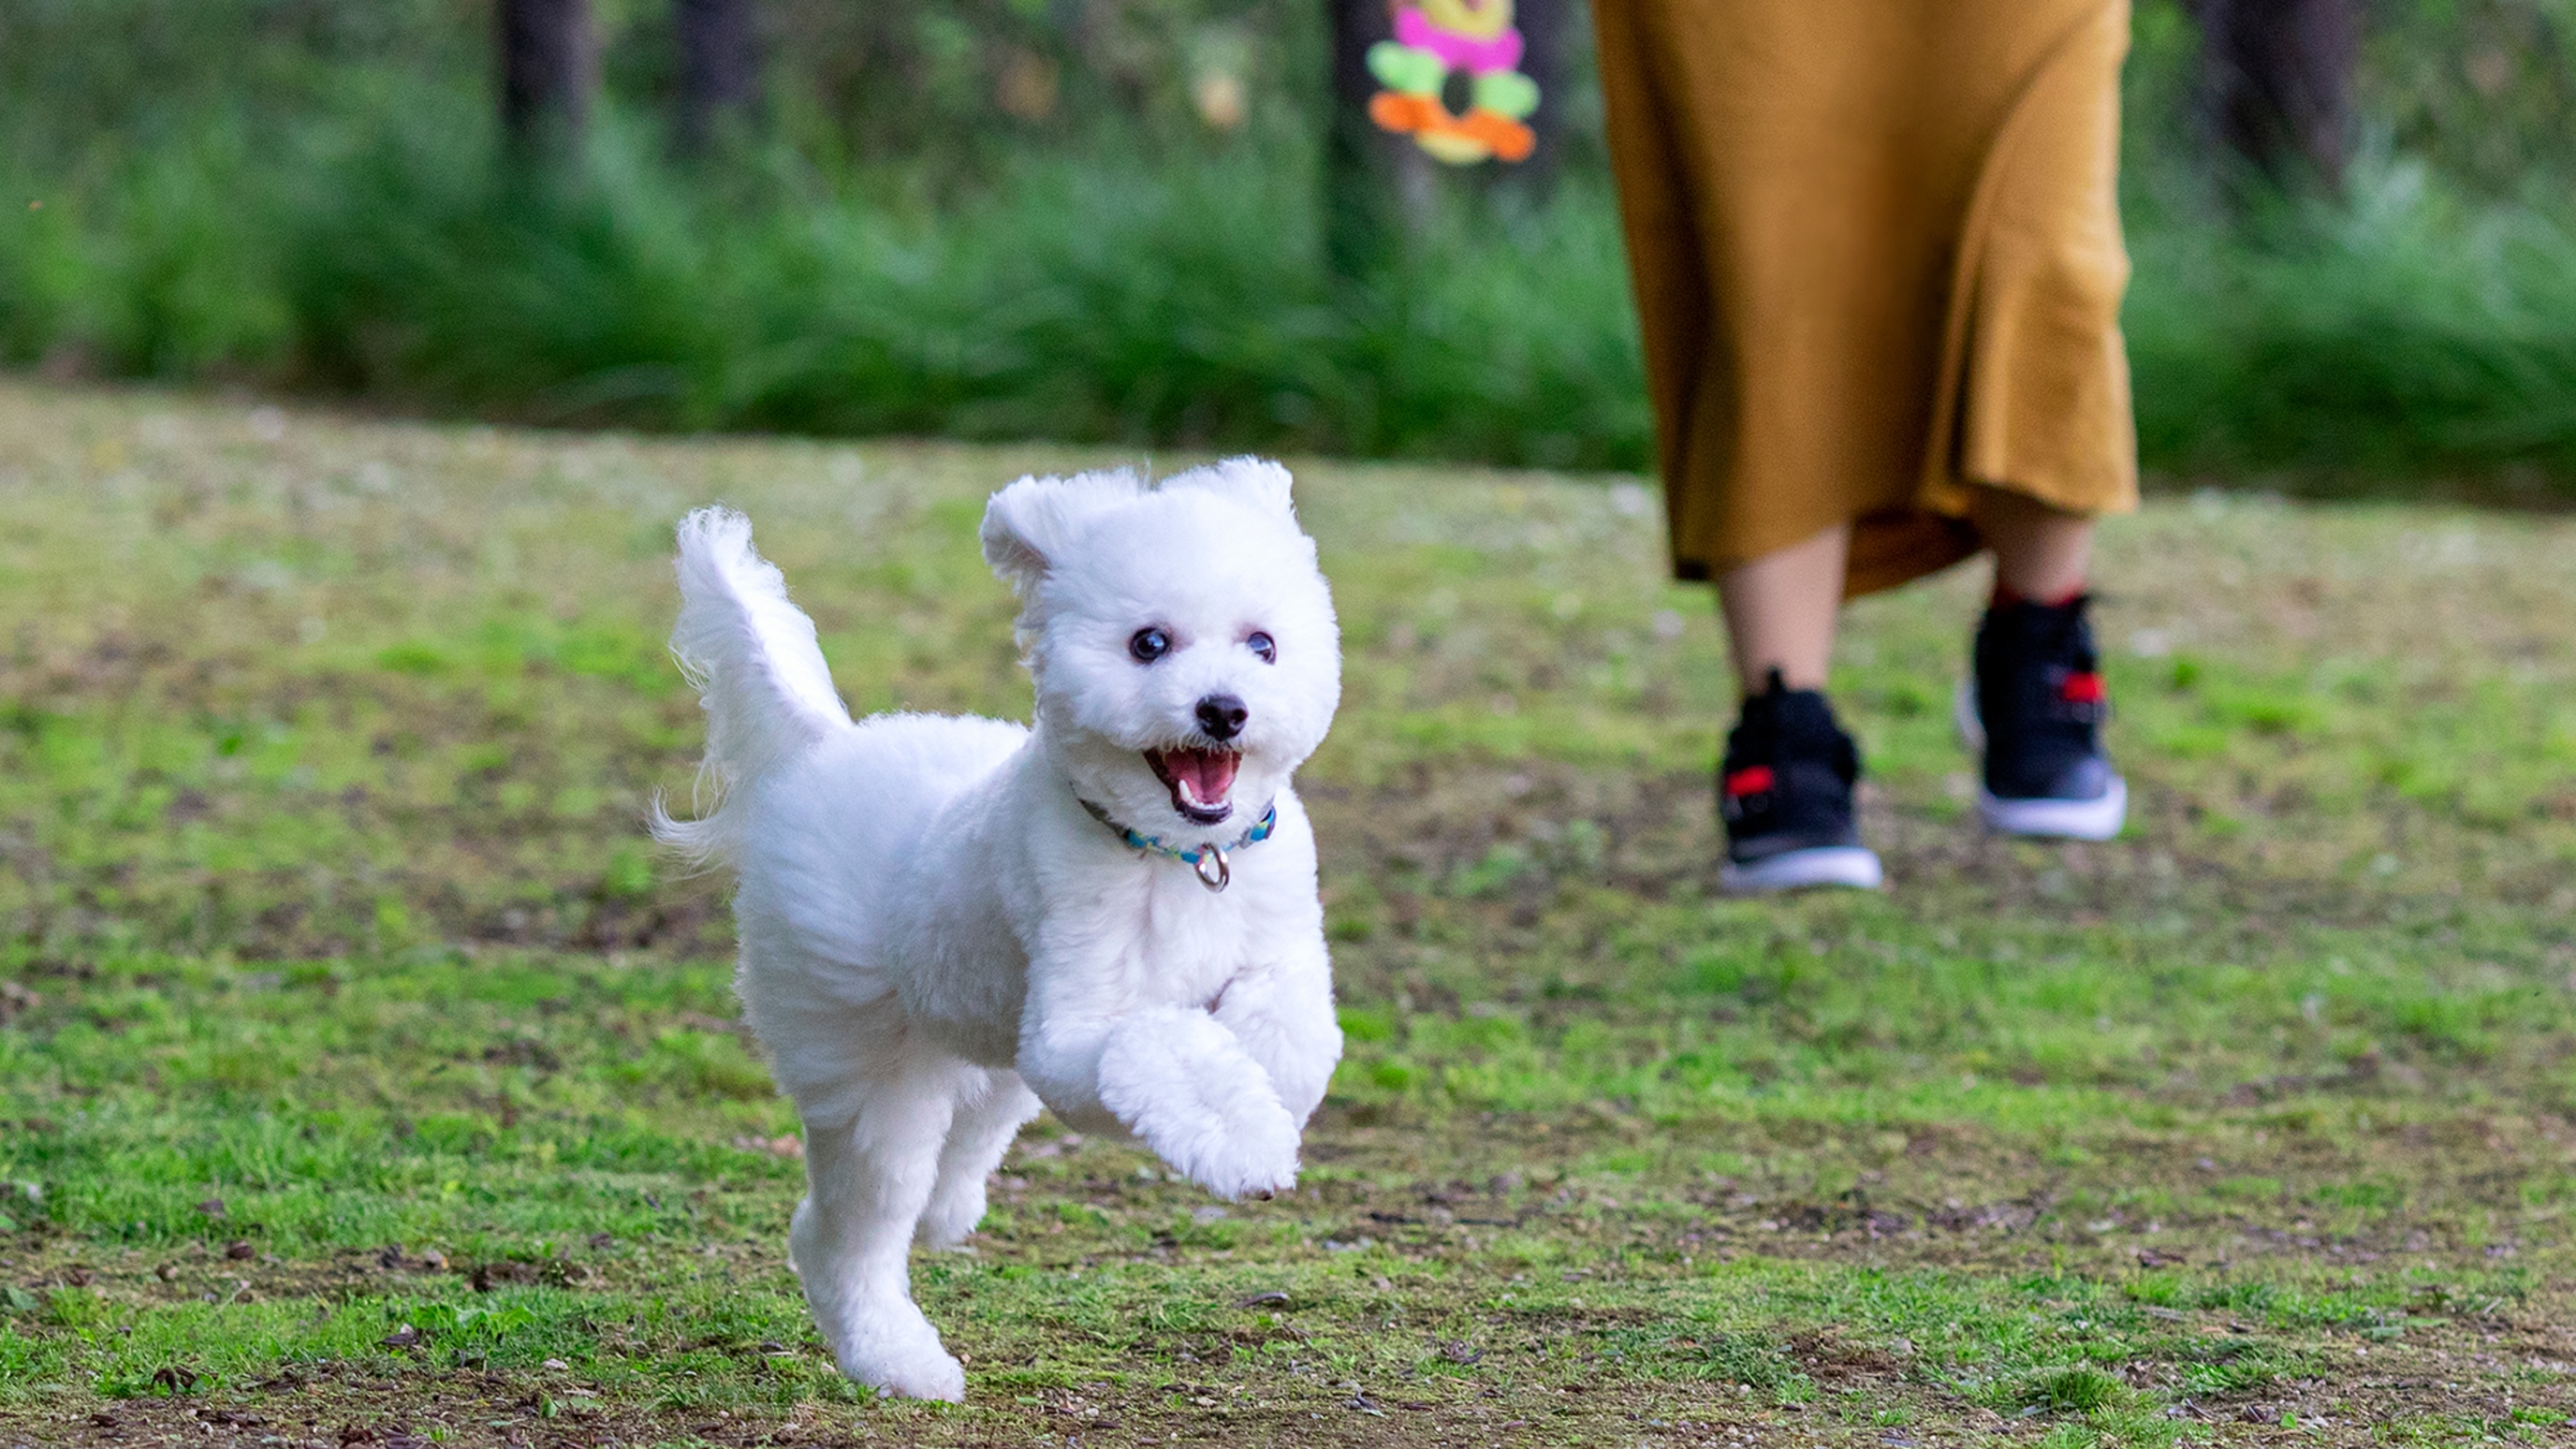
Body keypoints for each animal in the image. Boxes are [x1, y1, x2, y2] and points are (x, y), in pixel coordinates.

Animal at [649, 456, 1350, 1392]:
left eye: (1263, 645)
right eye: (1148, 643)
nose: (1224, 710)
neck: (1176, 856)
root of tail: (826, 751)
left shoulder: (1278, 946)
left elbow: (1294, 1031)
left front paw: (1268, 1096)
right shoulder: (1071, 1034)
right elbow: (1154, 1044)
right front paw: (1243, 1143)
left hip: (983, 1048)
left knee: (961, 1144)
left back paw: (947, 1214)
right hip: (869, 1070)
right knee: (848, 1232)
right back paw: (898, 1359)